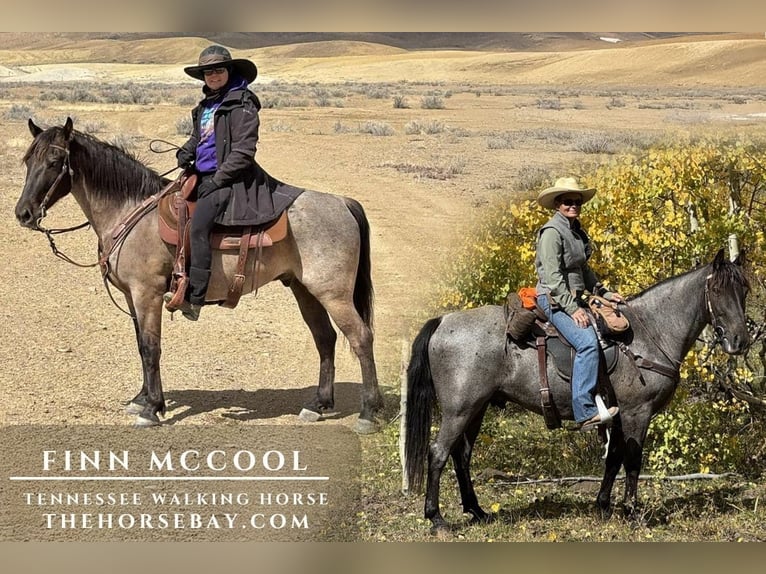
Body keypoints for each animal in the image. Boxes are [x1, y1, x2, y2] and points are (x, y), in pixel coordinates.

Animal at [14, 117, 383, 433]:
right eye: (28, 160)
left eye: (54, 161)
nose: (23, 213)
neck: (129, 212)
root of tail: (343, 202)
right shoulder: (132, 297)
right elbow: (140, 345)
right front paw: (142, 399)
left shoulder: (147, 293)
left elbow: (151, 347)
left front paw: (152, 408)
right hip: (305, 290)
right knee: (325, 338)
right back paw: (318, 405)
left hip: (334, 295)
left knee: (361, 338)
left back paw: (368, 412)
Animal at [404, 250, 750, 532]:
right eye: (717, 291)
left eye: (744, 290)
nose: (739, 341)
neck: (650, 332)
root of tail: (443, 321)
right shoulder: (637, 412)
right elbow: (633, 459)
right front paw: (631, 512)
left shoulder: (617, 413)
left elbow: (614, 458)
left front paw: (603, 506)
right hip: (458, 410)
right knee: (438, 453)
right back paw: (436, 518)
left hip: (477, 408)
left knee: (461, 456)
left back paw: (476, 511)